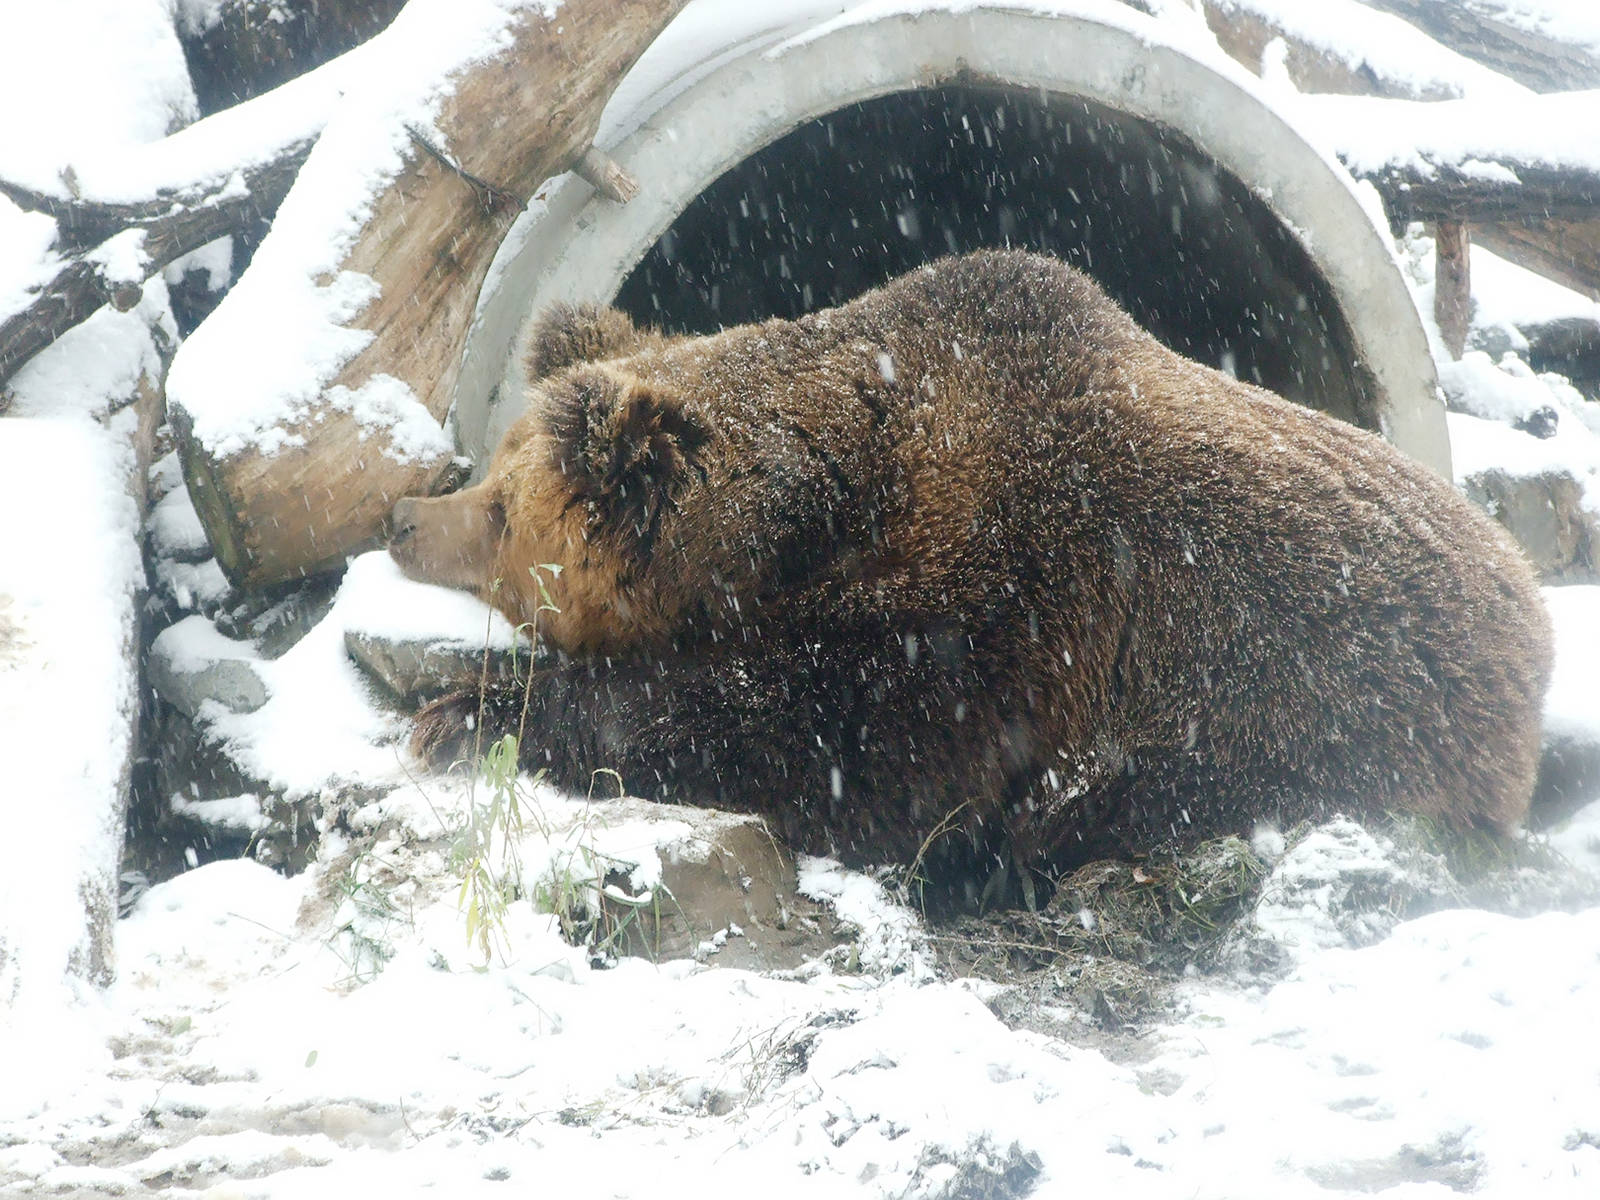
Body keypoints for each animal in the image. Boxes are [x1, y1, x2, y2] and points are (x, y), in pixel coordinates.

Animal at [389, 250, 1552, 903]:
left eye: (499, 508)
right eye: (494, 470)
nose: (403, 518)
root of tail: (1531, 599)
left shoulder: (1025, 581)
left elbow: (858, 745)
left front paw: (467, 711)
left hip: (1338, 716)